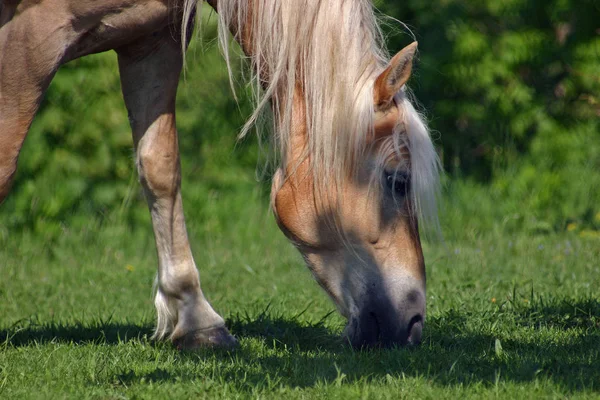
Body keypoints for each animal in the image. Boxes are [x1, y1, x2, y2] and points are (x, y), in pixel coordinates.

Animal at [0, 0, 440, 348]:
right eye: (398, 181)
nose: (414, 323)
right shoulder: (32, 36)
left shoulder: (151, 37)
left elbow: (160, 166)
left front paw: (196, 320)